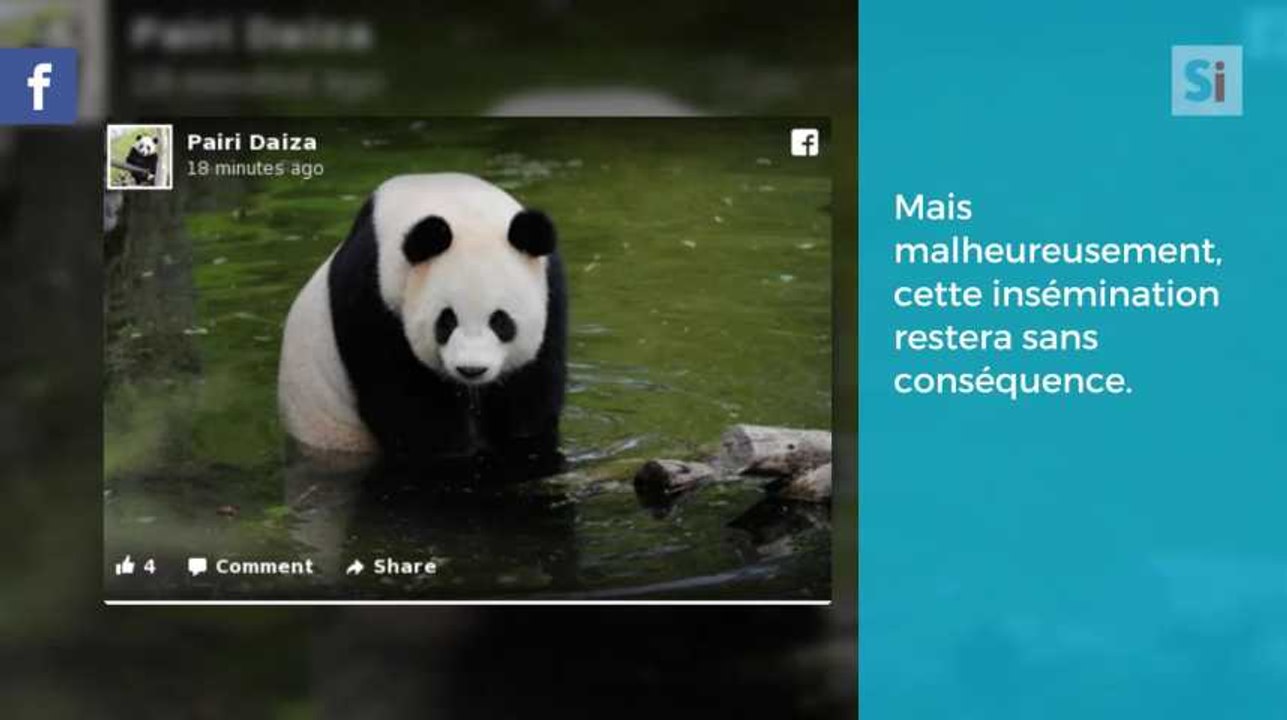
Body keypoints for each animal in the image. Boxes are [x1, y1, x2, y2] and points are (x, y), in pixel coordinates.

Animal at [278, 173, 567, 476]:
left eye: (501, 321)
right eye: (447, 320)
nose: (471, 369)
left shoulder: (551, 296)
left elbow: (530, 389)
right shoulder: (371, 300)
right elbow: (407, 403)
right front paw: (458, 454)